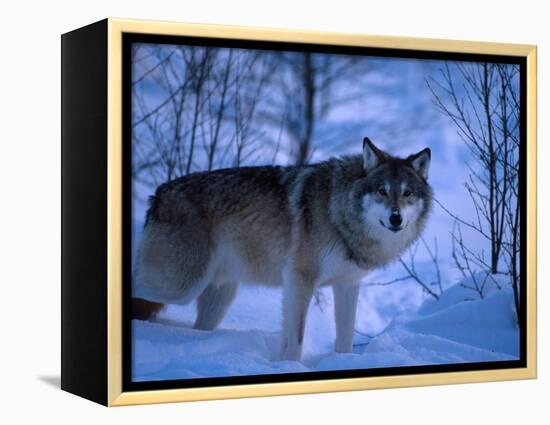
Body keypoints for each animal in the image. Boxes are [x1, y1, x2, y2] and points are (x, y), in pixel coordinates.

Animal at [132, 137, 434, 360]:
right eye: (382, 191)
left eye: (407, 193)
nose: (396, 218)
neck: (337, 212)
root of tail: (158, 194)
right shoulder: (300, 279)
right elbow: (296, 338)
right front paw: (290, 366)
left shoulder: (347, 284)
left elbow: (344, 337)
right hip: (180, 287)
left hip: (219, 296)